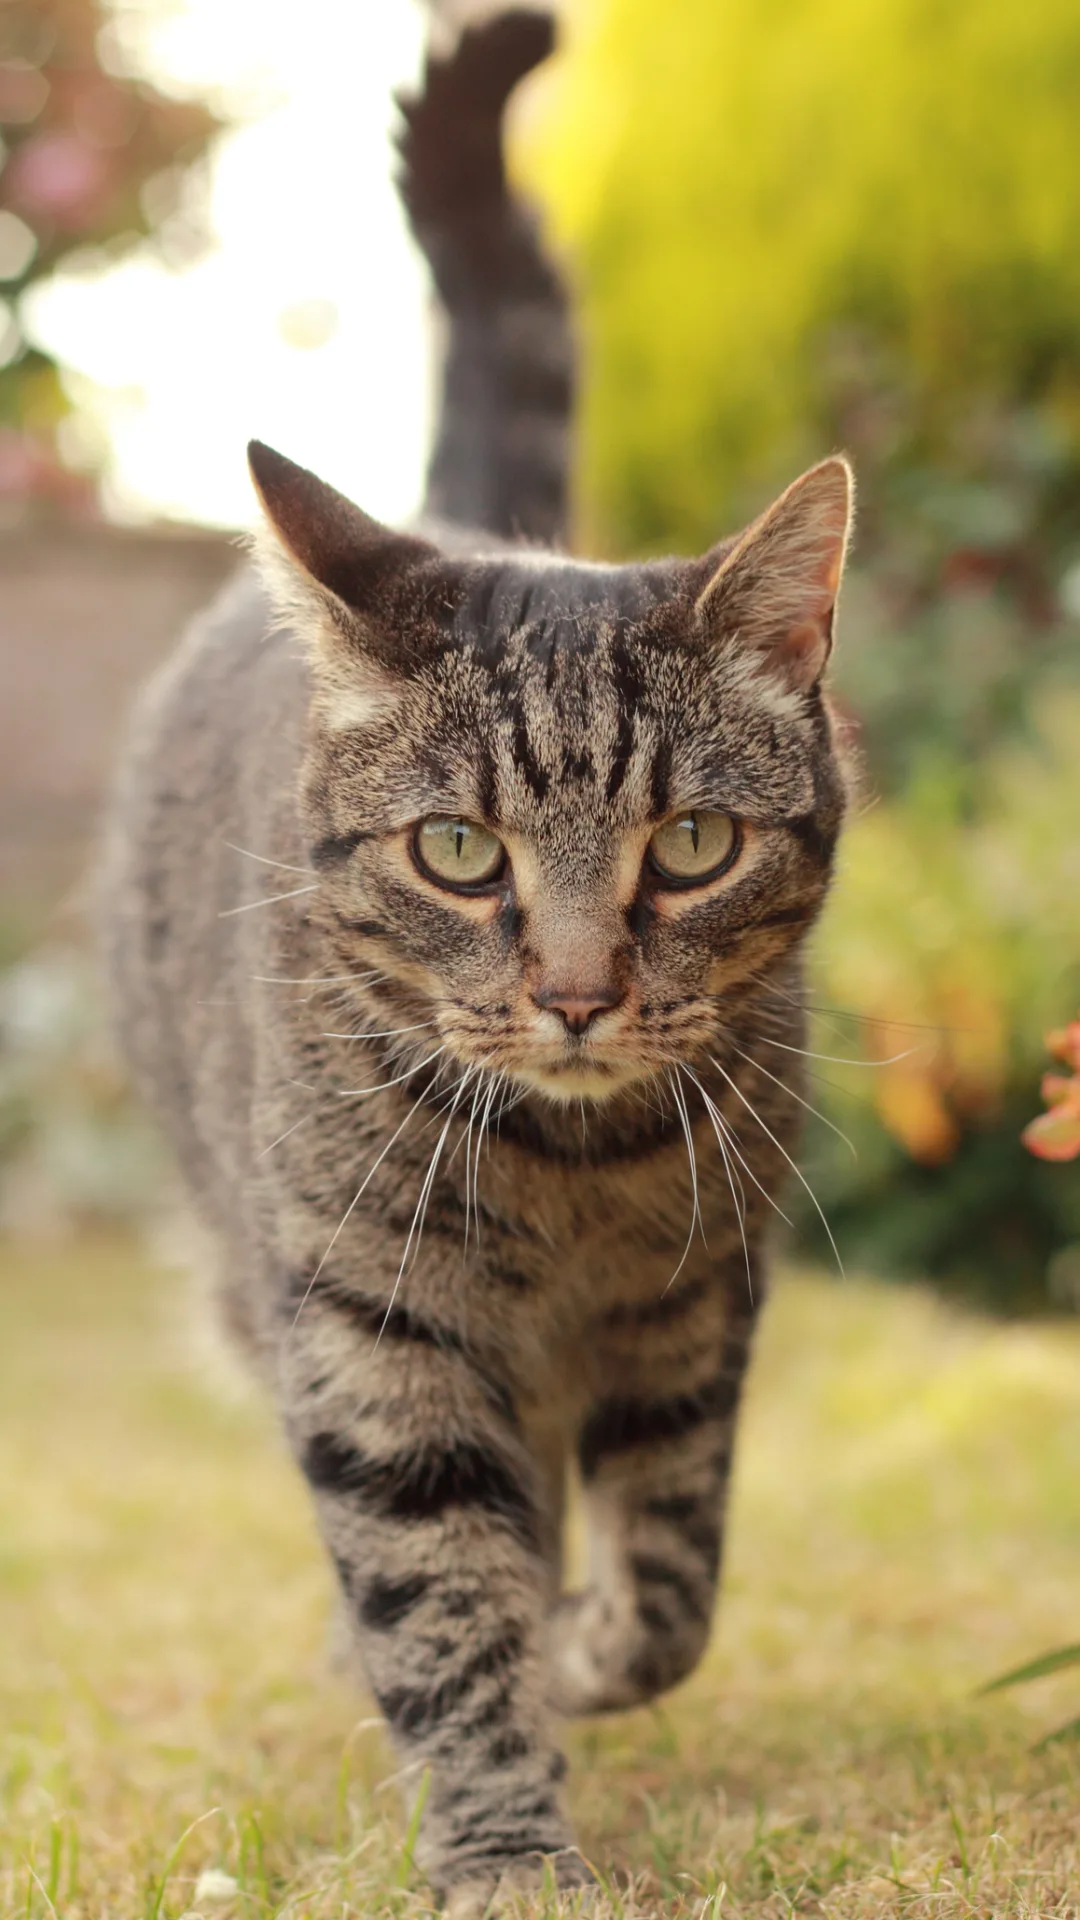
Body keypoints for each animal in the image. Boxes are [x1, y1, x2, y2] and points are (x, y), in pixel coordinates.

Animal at [102, 7, 849, 1912]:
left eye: (692, 846)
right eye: (459, 853)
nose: (578, 995)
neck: (573, 1176)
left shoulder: (693, 1314)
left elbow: (670, 1584)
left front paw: (583, 1652)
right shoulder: (373, 1335)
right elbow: (440, 1597)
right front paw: (506, 1845)